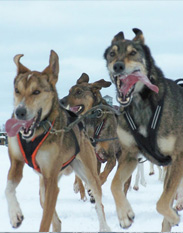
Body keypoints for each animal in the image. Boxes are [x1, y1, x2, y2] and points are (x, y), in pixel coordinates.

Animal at [4, 50, 110, 232]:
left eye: (36, 92)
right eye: (17, 90)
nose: (19, 112)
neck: (35, 133)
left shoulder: (51, 180)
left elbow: (45, 222)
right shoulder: (16, 163)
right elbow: (8, 189)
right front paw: (15, 215)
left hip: (88, 174)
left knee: (99, 203)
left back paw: (104, 227)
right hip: (43, 188)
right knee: (56, 219)